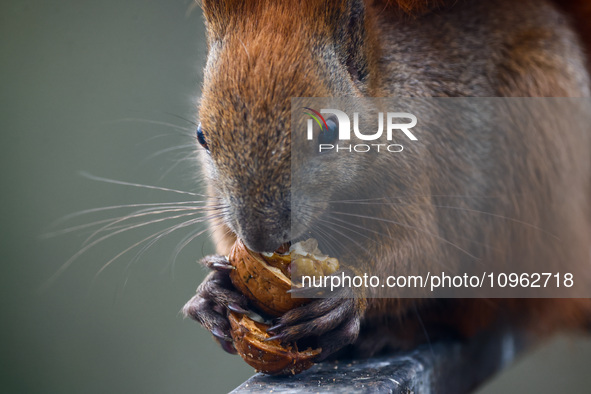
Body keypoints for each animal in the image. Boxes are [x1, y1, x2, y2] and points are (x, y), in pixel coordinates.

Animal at [184, 0, 591, 362]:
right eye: (203, 136)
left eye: (329, 131)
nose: (261, 238)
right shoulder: (220, 204)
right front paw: (211, 294)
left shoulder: (413, 172)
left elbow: (422, 254)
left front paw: (347, 294)